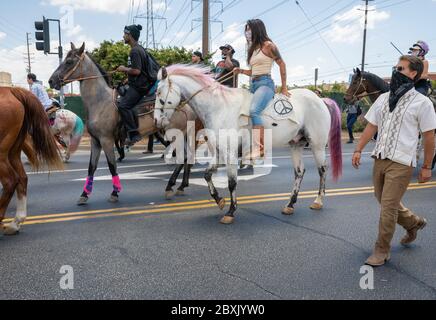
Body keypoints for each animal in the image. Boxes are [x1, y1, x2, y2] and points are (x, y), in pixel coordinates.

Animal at [0, 87, 63, 235]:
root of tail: (11, 90)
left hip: (2, 153)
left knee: (10, 181)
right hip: (13, 153)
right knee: (22, 179)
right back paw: (15, 223)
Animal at [155, 64, 342, 225]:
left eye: (158, 92)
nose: (157, 121)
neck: (219, 108)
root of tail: (320, 99)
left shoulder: (230, 154)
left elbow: (231, 183)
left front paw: (230, 212)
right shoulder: (219, 153)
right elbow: (207, 175)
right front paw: (220, 201)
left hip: (317, 145)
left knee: (322, 170)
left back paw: (318, 201)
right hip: (296, 144)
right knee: (299, 172)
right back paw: (290, 205)